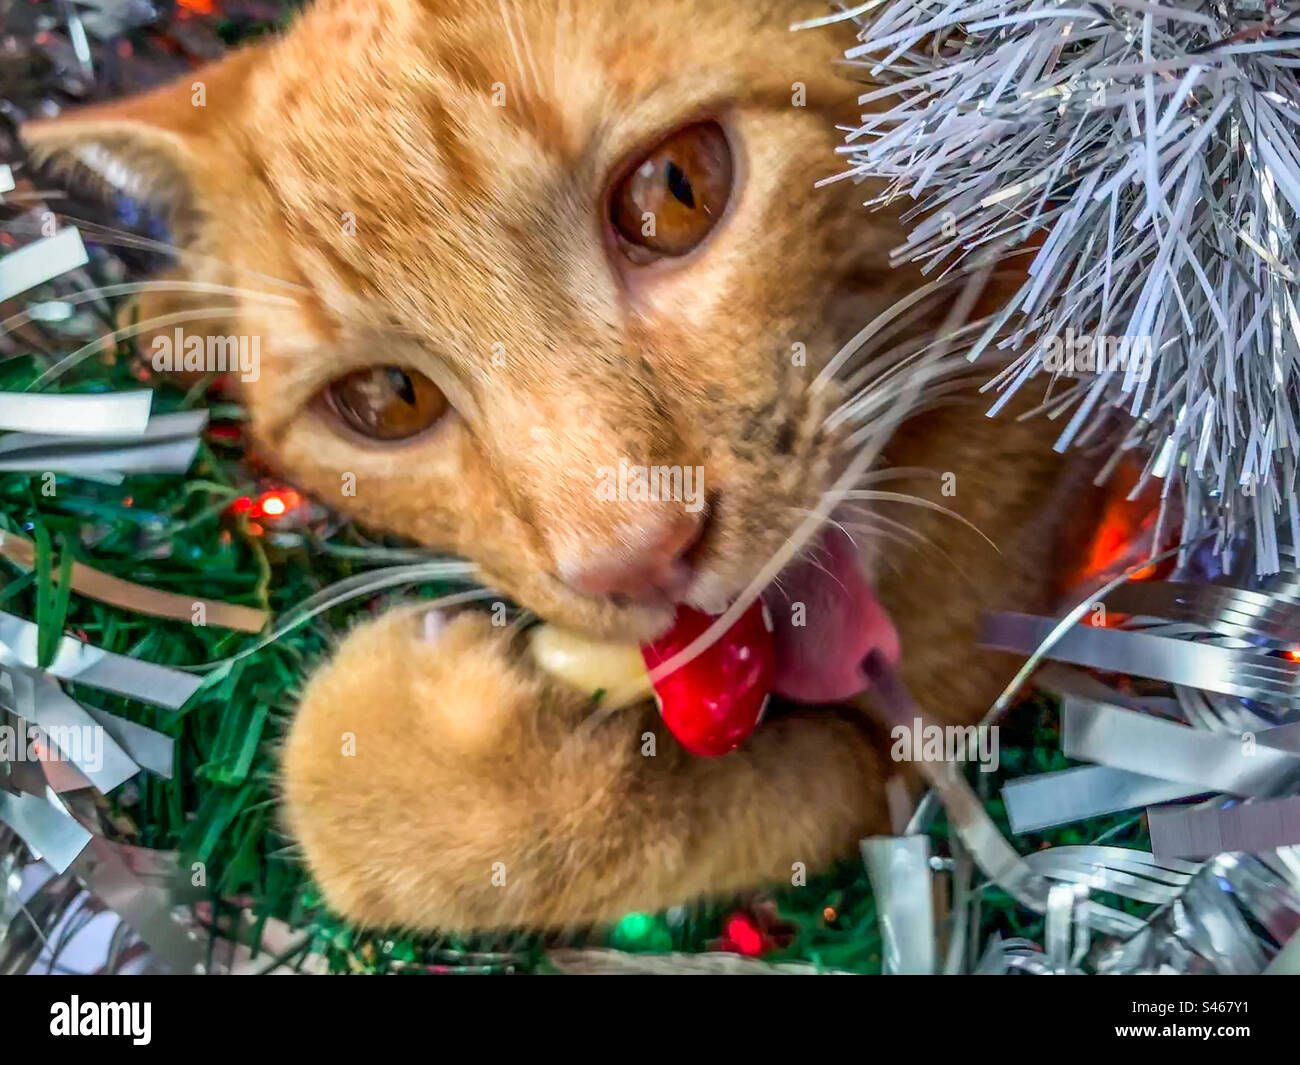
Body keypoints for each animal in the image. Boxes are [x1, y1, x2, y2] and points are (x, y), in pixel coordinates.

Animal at [25, 0, 1102, 931]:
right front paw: (174, 306)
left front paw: (399, 768)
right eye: (385, 400)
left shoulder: (936, 724)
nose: (636, 557)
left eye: (676, 189)